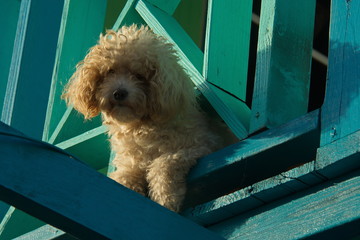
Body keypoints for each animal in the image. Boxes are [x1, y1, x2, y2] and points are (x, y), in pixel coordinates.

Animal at [63, 24, 221, 212]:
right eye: (110, 71)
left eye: (139, 76)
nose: (119, 93)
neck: (142, 128)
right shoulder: (131, 163)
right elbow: (124, 177)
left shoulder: (201, 146)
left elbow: (164, 162)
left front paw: (166, 197)